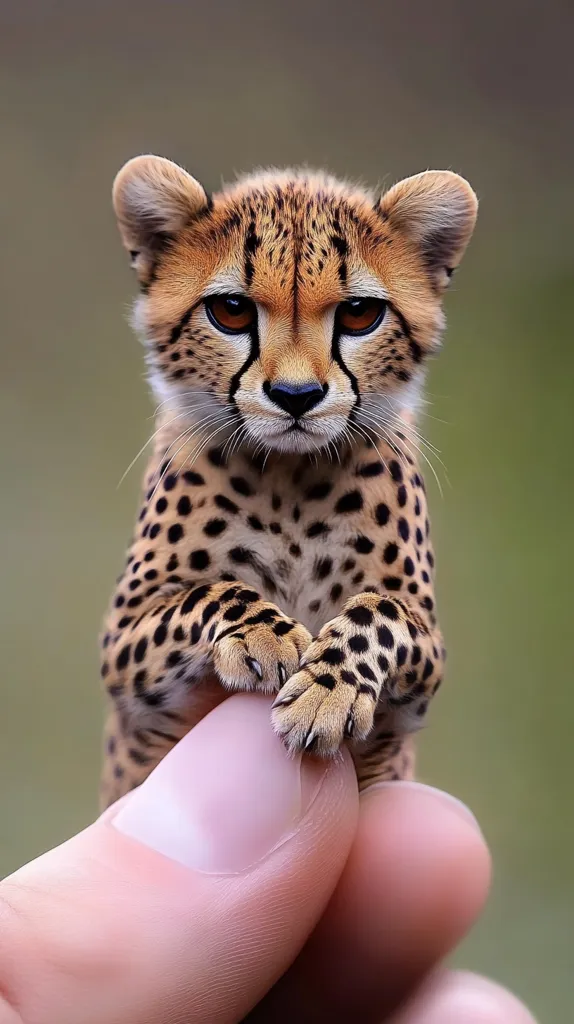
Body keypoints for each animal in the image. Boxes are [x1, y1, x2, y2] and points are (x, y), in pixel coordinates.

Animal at [99, 154, 477, 809]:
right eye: (230, 310)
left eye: (359, 314)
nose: (296, 396)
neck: (291, 479)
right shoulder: (121, 651)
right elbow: (213, 589)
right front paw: (265, 636)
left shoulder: (425, 664)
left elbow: (378, 611)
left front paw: (326, 690)